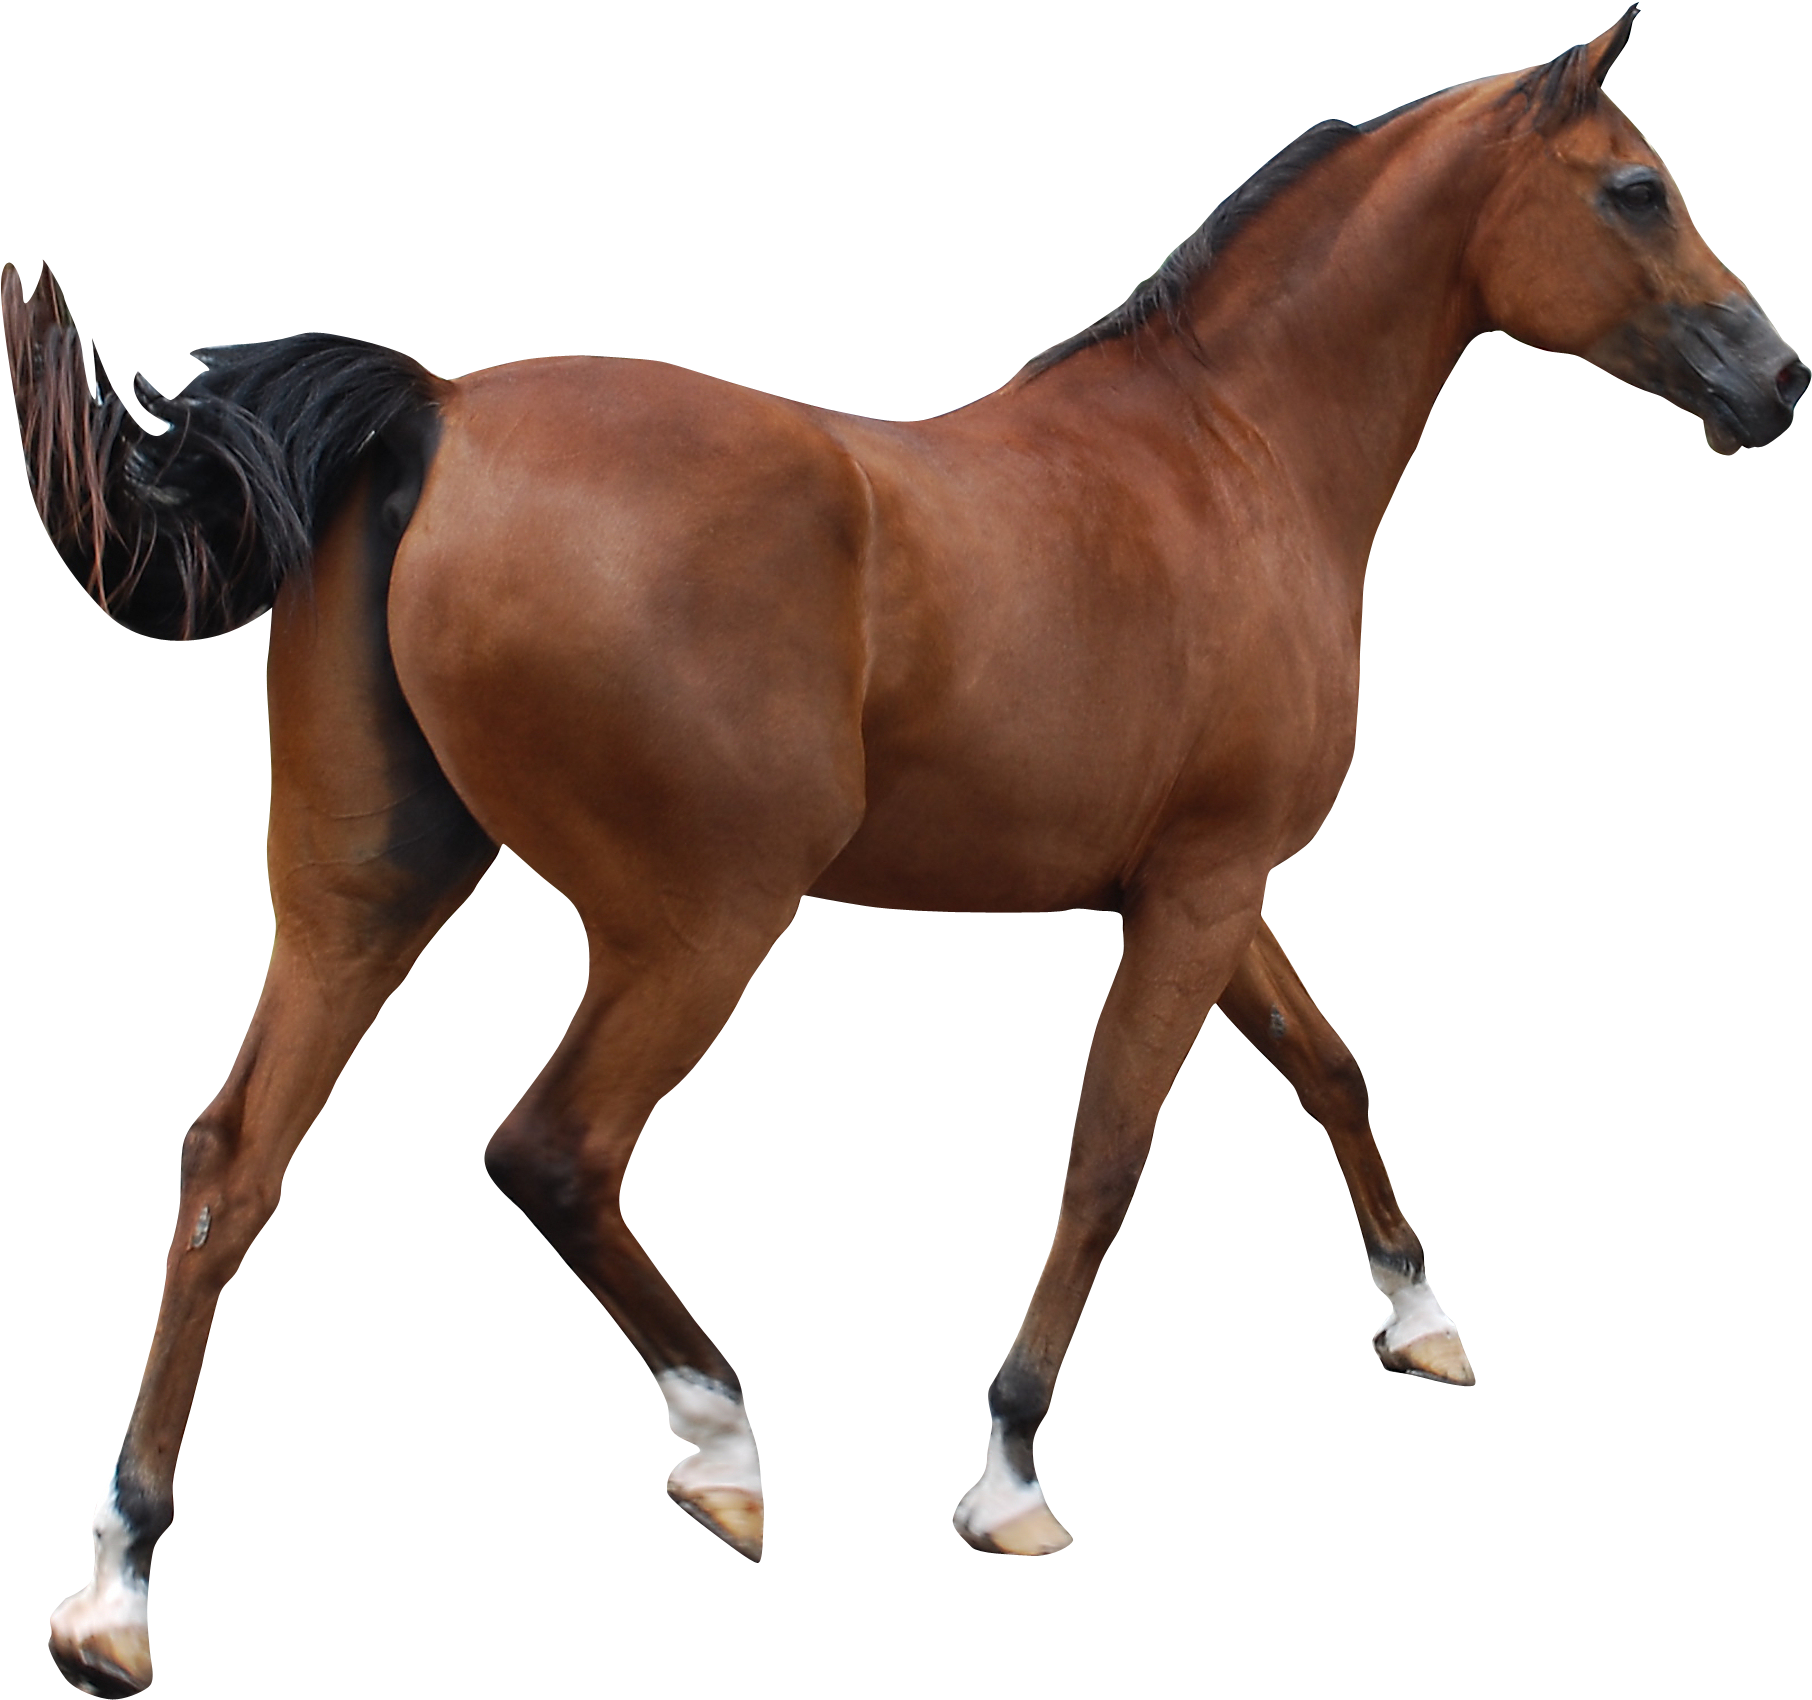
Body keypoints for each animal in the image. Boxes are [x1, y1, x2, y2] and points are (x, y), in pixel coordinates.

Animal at [11, 9, 1804, 1692]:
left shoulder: (1207, 891)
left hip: (362, 900)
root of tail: (438, 423)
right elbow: (1109, 1155)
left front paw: (1420, 1320)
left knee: (229, 1165)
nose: (1778, 379)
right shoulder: (1198, 893)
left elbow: (1327, 1065)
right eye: (1637, 188)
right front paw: (1009, 1482)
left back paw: (114, 1596)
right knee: (553, 1151)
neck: (1229, 455)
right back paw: (723, 1451)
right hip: (700, 923)